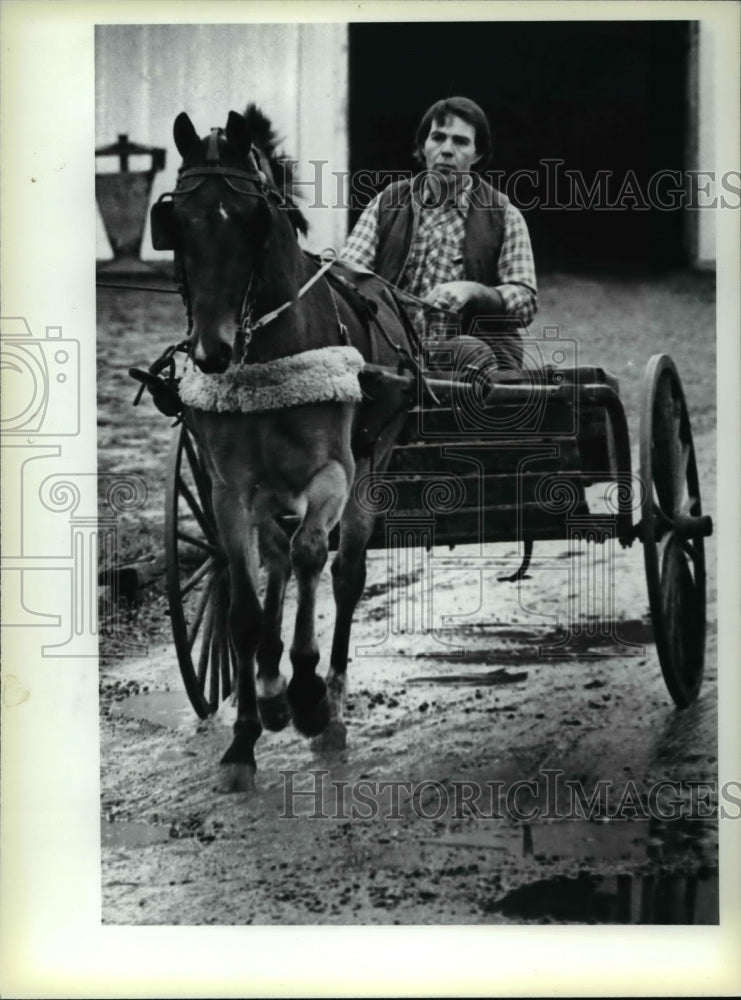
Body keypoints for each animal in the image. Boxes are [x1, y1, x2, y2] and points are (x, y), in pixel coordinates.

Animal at [162, 107, 414, 788]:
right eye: (176, 221)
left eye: (253, 219)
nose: (212, 352)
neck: (268, 353)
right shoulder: (229, 488)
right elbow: (244, 608)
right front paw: (247, 731)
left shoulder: (333, 471)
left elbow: (311, 557)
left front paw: (307, 693)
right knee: (274, 558)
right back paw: (272, 687)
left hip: (371, 468)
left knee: (342, 572)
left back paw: (330, 699)